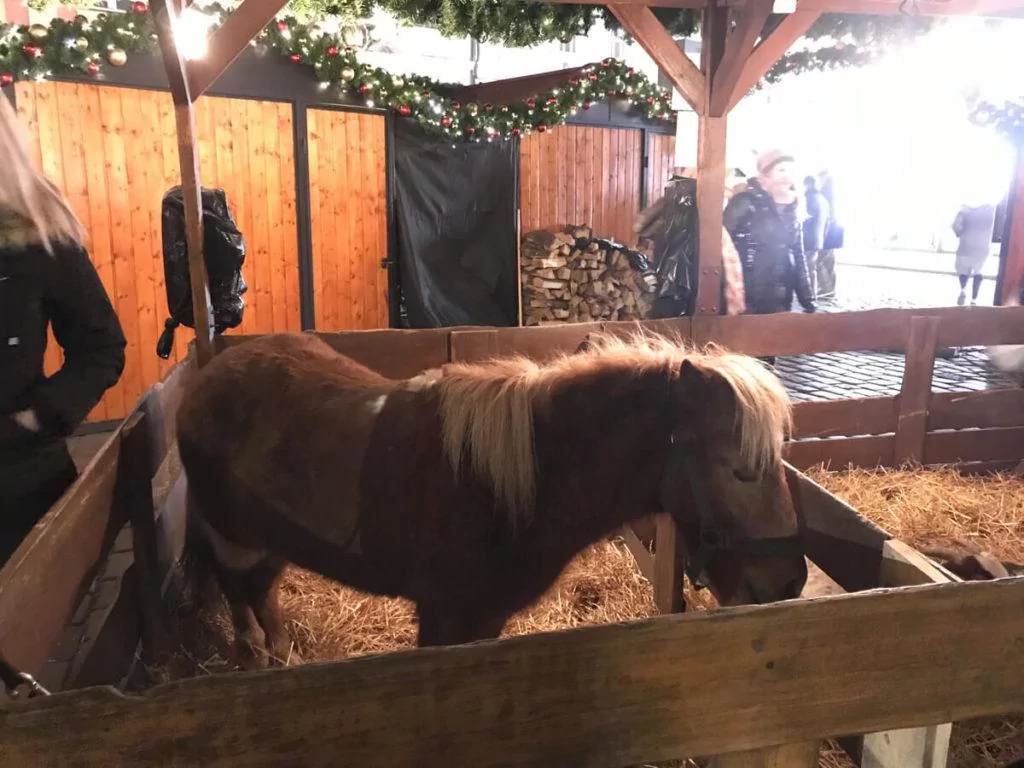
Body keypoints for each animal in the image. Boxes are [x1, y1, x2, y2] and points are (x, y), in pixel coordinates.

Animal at [176, 331, 806, 667]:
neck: (514, 490)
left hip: (269, 542)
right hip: (231, 539)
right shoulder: (444, 617)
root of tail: (211, 373)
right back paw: (257, 658)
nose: (788, 583)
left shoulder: (484, 621)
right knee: (241, 600)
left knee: (265, 595)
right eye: (740, 470)